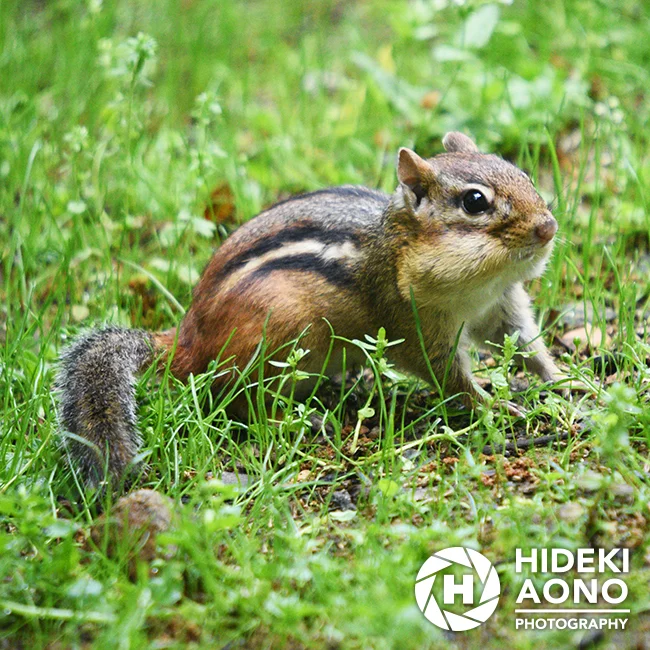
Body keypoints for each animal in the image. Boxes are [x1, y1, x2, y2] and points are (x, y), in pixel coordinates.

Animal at [57, 132, 563, 487]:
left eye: (523, 174)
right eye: (475, 202)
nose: (549, 227)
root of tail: (186, 343)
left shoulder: (500, 305)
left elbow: (526, 344)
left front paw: (564, 381)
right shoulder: (414, 325)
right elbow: (448, 377)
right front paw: (496, 405)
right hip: (280, 337)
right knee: (240, 403)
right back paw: (305, 419)